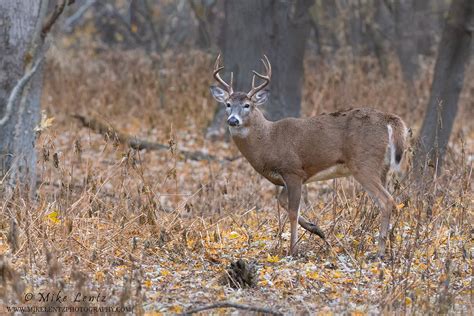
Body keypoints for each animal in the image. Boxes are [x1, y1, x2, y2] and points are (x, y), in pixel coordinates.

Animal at [209, 54, 410, 256]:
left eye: (247, 105)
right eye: (228, 104)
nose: (232, 120)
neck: (268, 140)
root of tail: (388, 118)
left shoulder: (293, 170)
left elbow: (292, 211)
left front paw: (293, 249)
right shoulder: (290, 177)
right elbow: (282, 202)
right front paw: (317, 230)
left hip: (364, 163)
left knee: (387, 201)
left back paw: (380, 251)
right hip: (382, 167)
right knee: (389, 200)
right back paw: (389, 245)